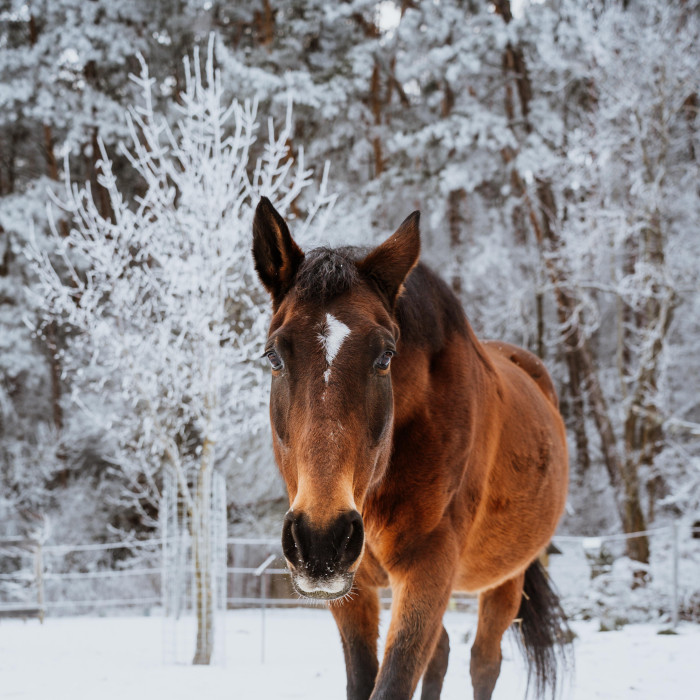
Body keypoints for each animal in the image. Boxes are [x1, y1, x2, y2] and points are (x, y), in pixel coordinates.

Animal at [254, 198, 572, 700]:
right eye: (274, 356)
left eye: (385, 356)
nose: (321, 539)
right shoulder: (354, 591)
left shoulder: (429, 568)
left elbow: (395, 681)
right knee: (441, 654)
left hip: (507, 578)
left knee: (484, 662)